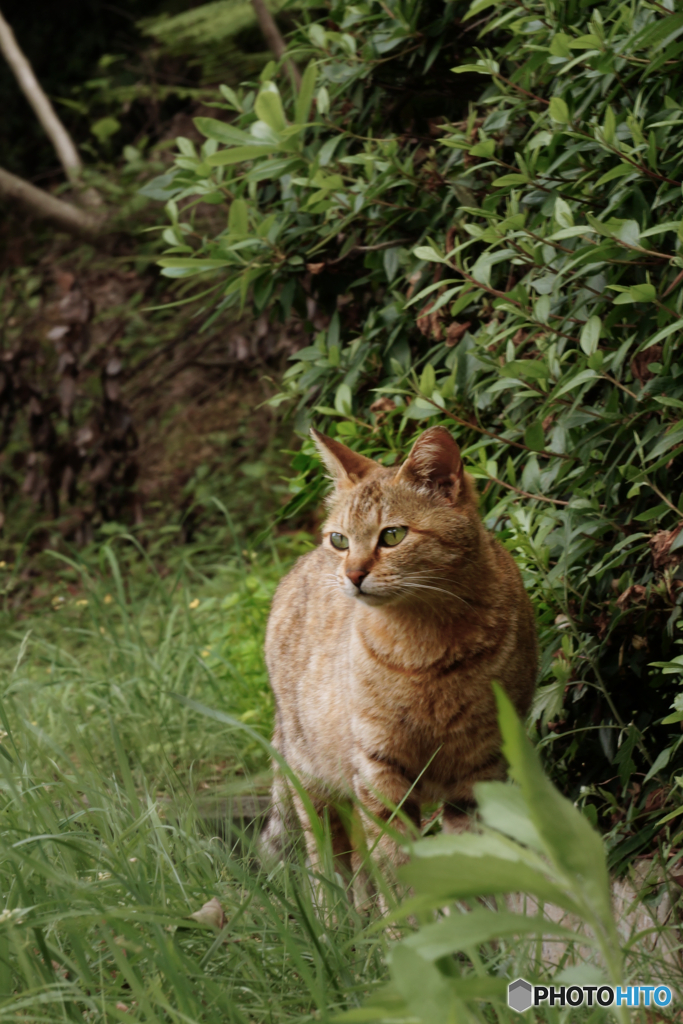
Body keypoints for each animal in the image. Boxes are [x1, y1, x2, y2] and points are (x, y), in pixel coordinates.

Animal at [262, 423, 540, 872]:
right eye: (340, 540)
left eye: (392, 535)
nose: (352, 574)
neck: (425, 643)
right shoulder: (378, 771)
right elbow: (397, 869)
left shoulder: (480, 770)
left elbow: (472, 865)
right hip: (313, 780)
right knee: (330, 863)